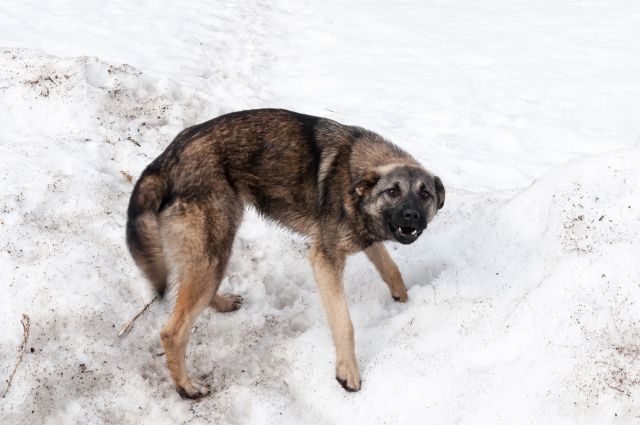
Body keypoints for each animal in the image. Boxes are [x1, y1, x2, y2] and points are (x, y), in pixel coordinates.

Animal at [125, 107, 444, 396]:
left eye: (425, 194)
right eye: (393, 192)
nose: (412, 216)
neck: (355, 183)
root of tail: (166, 160)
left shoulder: (366, 239)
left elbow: (392, 269)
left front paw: (404, 302)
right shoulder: (325, 260)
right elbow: (345, 323)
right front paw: (348, 372)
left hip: (210, 250)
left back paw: (221, 303)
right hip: (215, 247)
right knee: (172, 332)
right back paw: (187, 387)